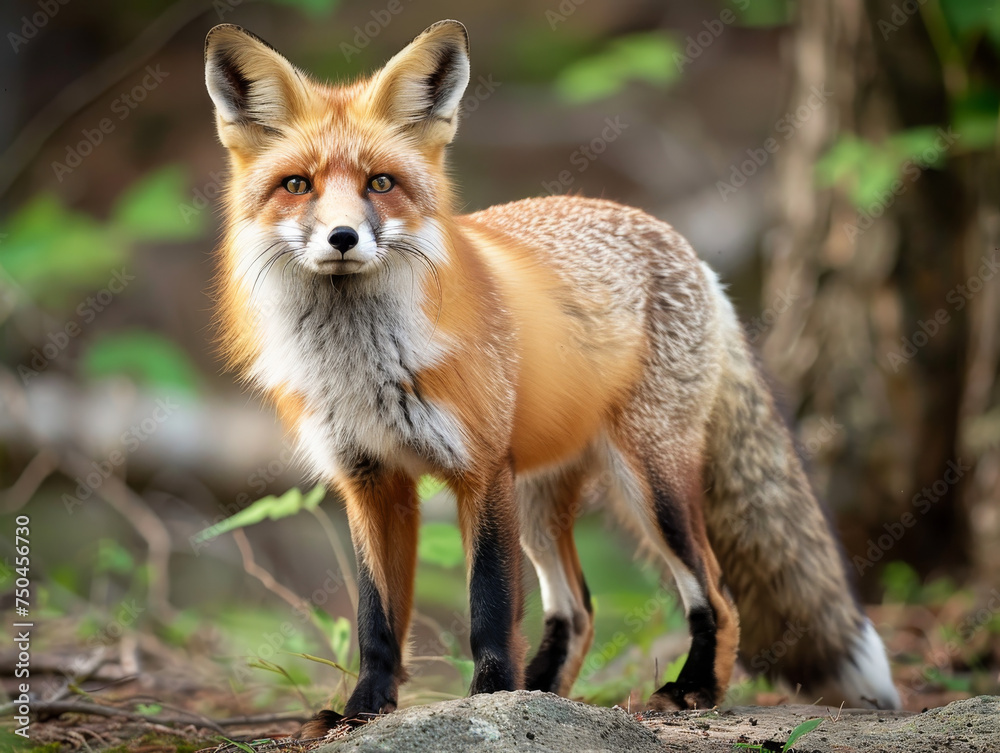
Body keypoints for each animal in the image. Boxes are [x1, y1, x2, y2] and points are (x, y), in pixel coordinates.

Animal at [201, 20, 900, 732]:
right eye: (297, 185)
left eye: (380, 183)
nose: (343, 237)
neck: (362, 366)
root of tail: (686, 248)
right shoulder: (369, 481)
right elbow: (377, 618)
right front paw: (365, 708)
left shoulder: (481, 469)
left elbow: (488, 608)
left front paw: (488, 700)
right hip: (540, 500)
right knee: (579, 609)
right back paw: (542, 693)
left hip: (648, 482)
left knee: (716, 593)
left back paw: (692, 690)